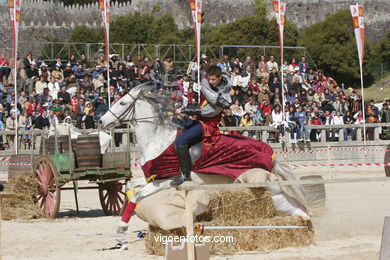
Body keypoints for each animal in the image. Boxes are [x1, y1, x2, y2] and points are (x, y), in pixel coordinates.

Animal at [100, 84, 310, 233]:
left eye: (122, 103)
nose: (101, 120)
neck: (157, 139)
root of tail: (269, 152)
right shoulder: (152, 177)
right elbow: (129, 186)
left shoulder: (164, 181)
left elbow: (137, 195)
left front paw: (122, 225)